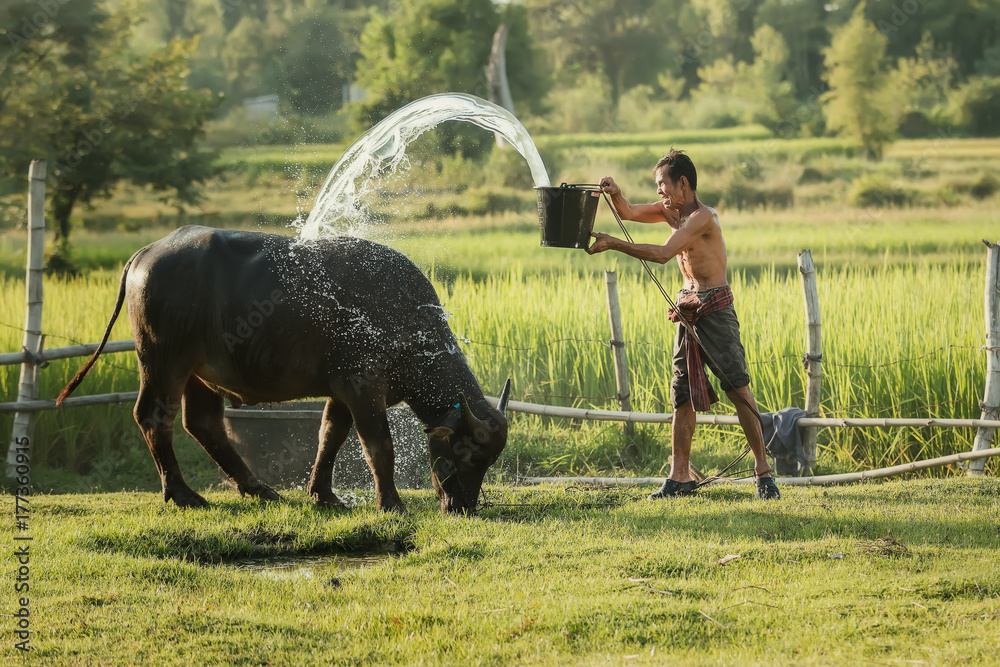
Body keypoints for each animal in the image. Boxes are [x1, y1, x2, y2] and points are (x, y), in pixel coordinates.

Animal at [56, 227, 508, 516]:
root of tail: (145, 253)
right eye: (469, 454)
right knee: (153, 417)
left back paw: (258, 488)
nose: (464, 507)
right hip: (162, 361)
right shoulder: (363, 387)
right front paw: (391, 504)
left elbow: (330, 437)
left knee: (202, 423)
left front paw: (323, 495)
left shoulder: (341, 390)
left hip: (201, 373)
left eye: (488, 461)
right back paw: (181, 493)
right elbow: (378, 446)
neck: (404, 320)